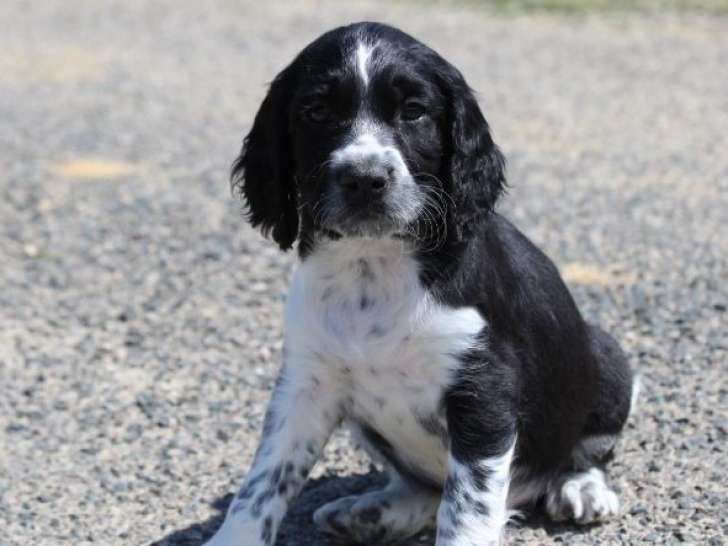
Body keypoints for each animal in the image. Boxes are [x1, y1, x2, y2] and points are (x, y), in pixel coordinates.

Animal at [202, 22, 636, 544]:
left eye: (413, 112)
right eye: (317, 111)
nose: (365, 179)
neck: (373, 266)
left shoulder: (484, 389)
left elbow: (467, 508)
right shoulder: (307, 382)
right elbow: (264, 481)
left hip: (608, 358)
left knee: (585, 451)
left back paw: (580, 489)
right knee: (425, 491)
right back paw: (370, 512)